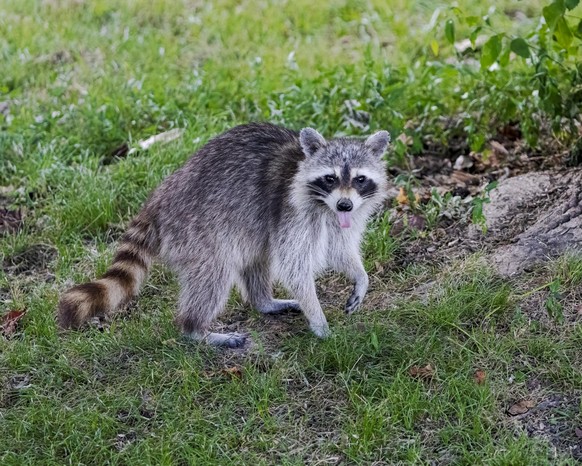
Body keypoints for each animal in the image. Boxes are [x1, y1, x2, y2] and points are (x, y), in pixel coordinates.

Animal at [58, 122, 392, 348]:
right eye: (330, 178)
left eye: (360, 179)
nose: (345, 204)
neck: (325, 204)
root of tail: (158, 199)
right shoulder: (291, 210)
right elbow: (293, 266)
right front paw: (317, 318)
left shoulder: (338, 217)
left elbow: (338, 248)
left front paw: (360, 277)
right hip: (198, 229)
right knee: (214, 275)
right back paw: (195, 329)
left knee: (256, 257)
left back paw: (263, 301)